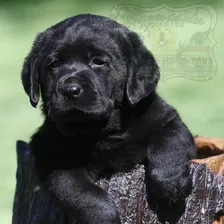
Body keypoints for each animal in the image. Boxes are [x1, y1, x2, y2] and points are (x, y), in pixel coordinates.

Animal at [21, 14, 196, 224]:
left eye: (97, 62)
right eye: (54, 64)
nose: (70, 90)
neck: (104, 132)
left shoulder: (166, 119)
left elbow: (170, 142)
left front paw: (171, 184)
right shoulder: (51, 153)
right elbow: (82, 192)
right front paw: (103, 217)